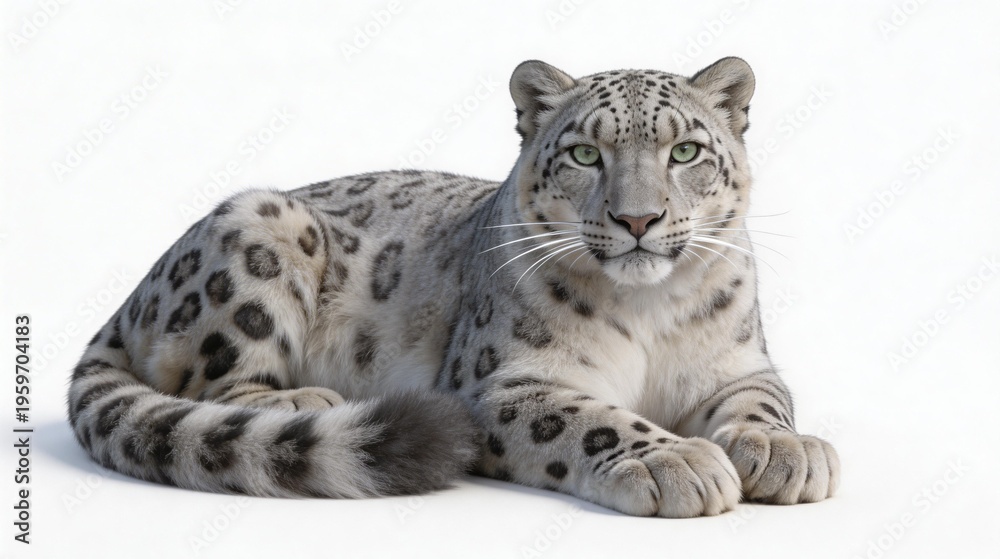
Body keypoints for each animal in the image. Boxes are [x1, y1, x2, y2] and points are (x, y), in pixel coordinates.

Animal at [67, 57, 839, 517]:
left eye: (685, 151)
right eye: (584, 154)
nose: (638, 218)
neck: (648, 309)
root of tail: (131, 296)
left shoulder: (738, 362)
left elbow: (765, 400)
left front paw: (788, 452)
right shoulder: (501, 384)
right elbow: (588, 418)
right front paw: (677, 459)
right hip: (261, 230)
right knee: (212, 379)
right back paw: (300, 397)